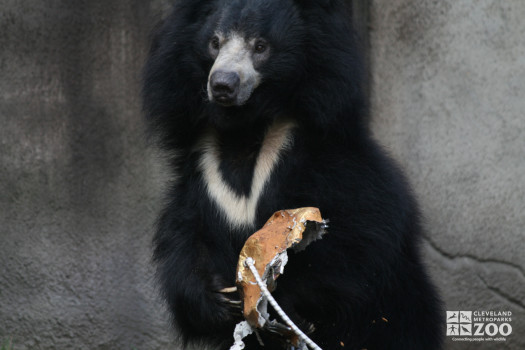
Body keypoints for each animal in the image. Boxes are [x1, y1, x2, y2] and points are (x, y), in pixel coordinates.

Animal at [142, 0, 442, 348]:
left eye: (261, 46)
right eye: (214, 42)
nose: (222, 84)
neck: (244, 130)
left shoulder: (327, 161)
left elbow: (356, 233)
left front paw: (281, 304)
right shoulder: (203, 176)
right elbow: (186, 236)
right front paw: (217, 299)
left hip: (396, 306)